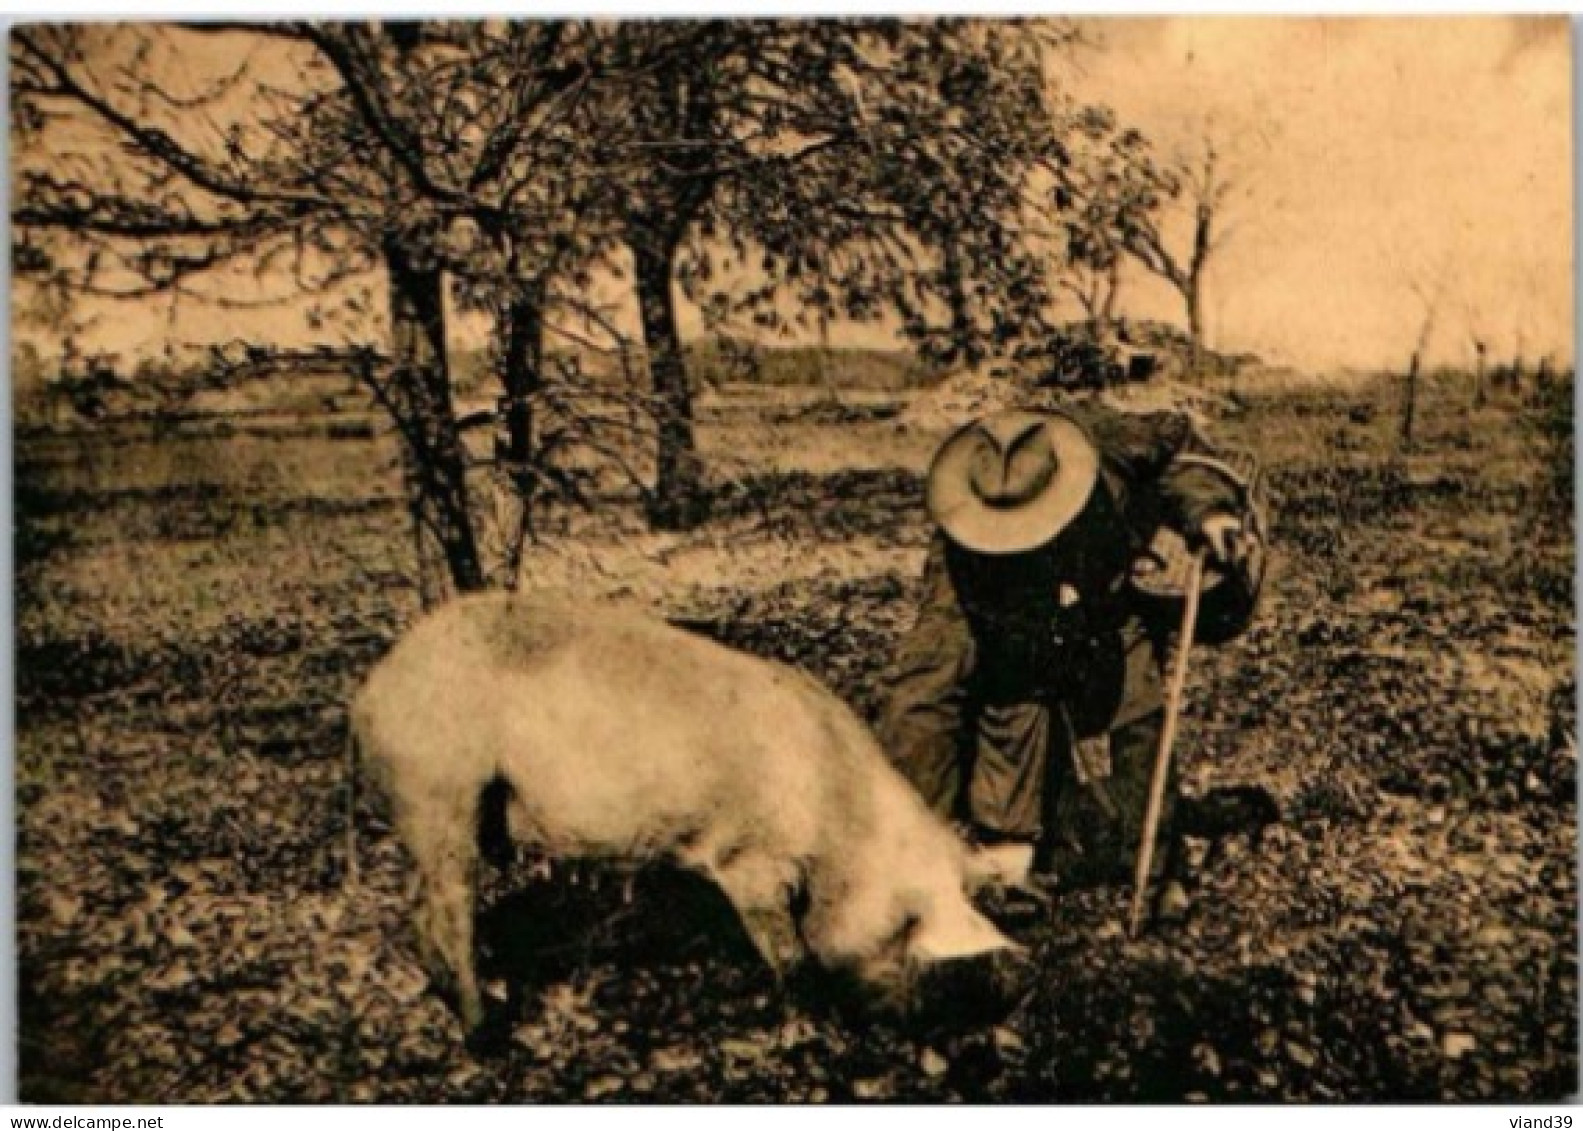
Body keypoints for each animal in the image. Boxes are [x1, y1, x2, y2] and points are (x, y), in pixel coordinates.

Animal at [349, 595, 1025, 1032]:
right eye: (905, 931)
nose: (907, 1024)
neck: (836, 825)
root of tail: (375, 685)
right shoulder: (748, 860)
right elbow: (790, 955)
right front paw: (815, 1028)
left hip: (432, 808)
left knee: (423, 902)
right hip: (440, 783)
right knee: (454, 905)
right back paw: (484, 1033)